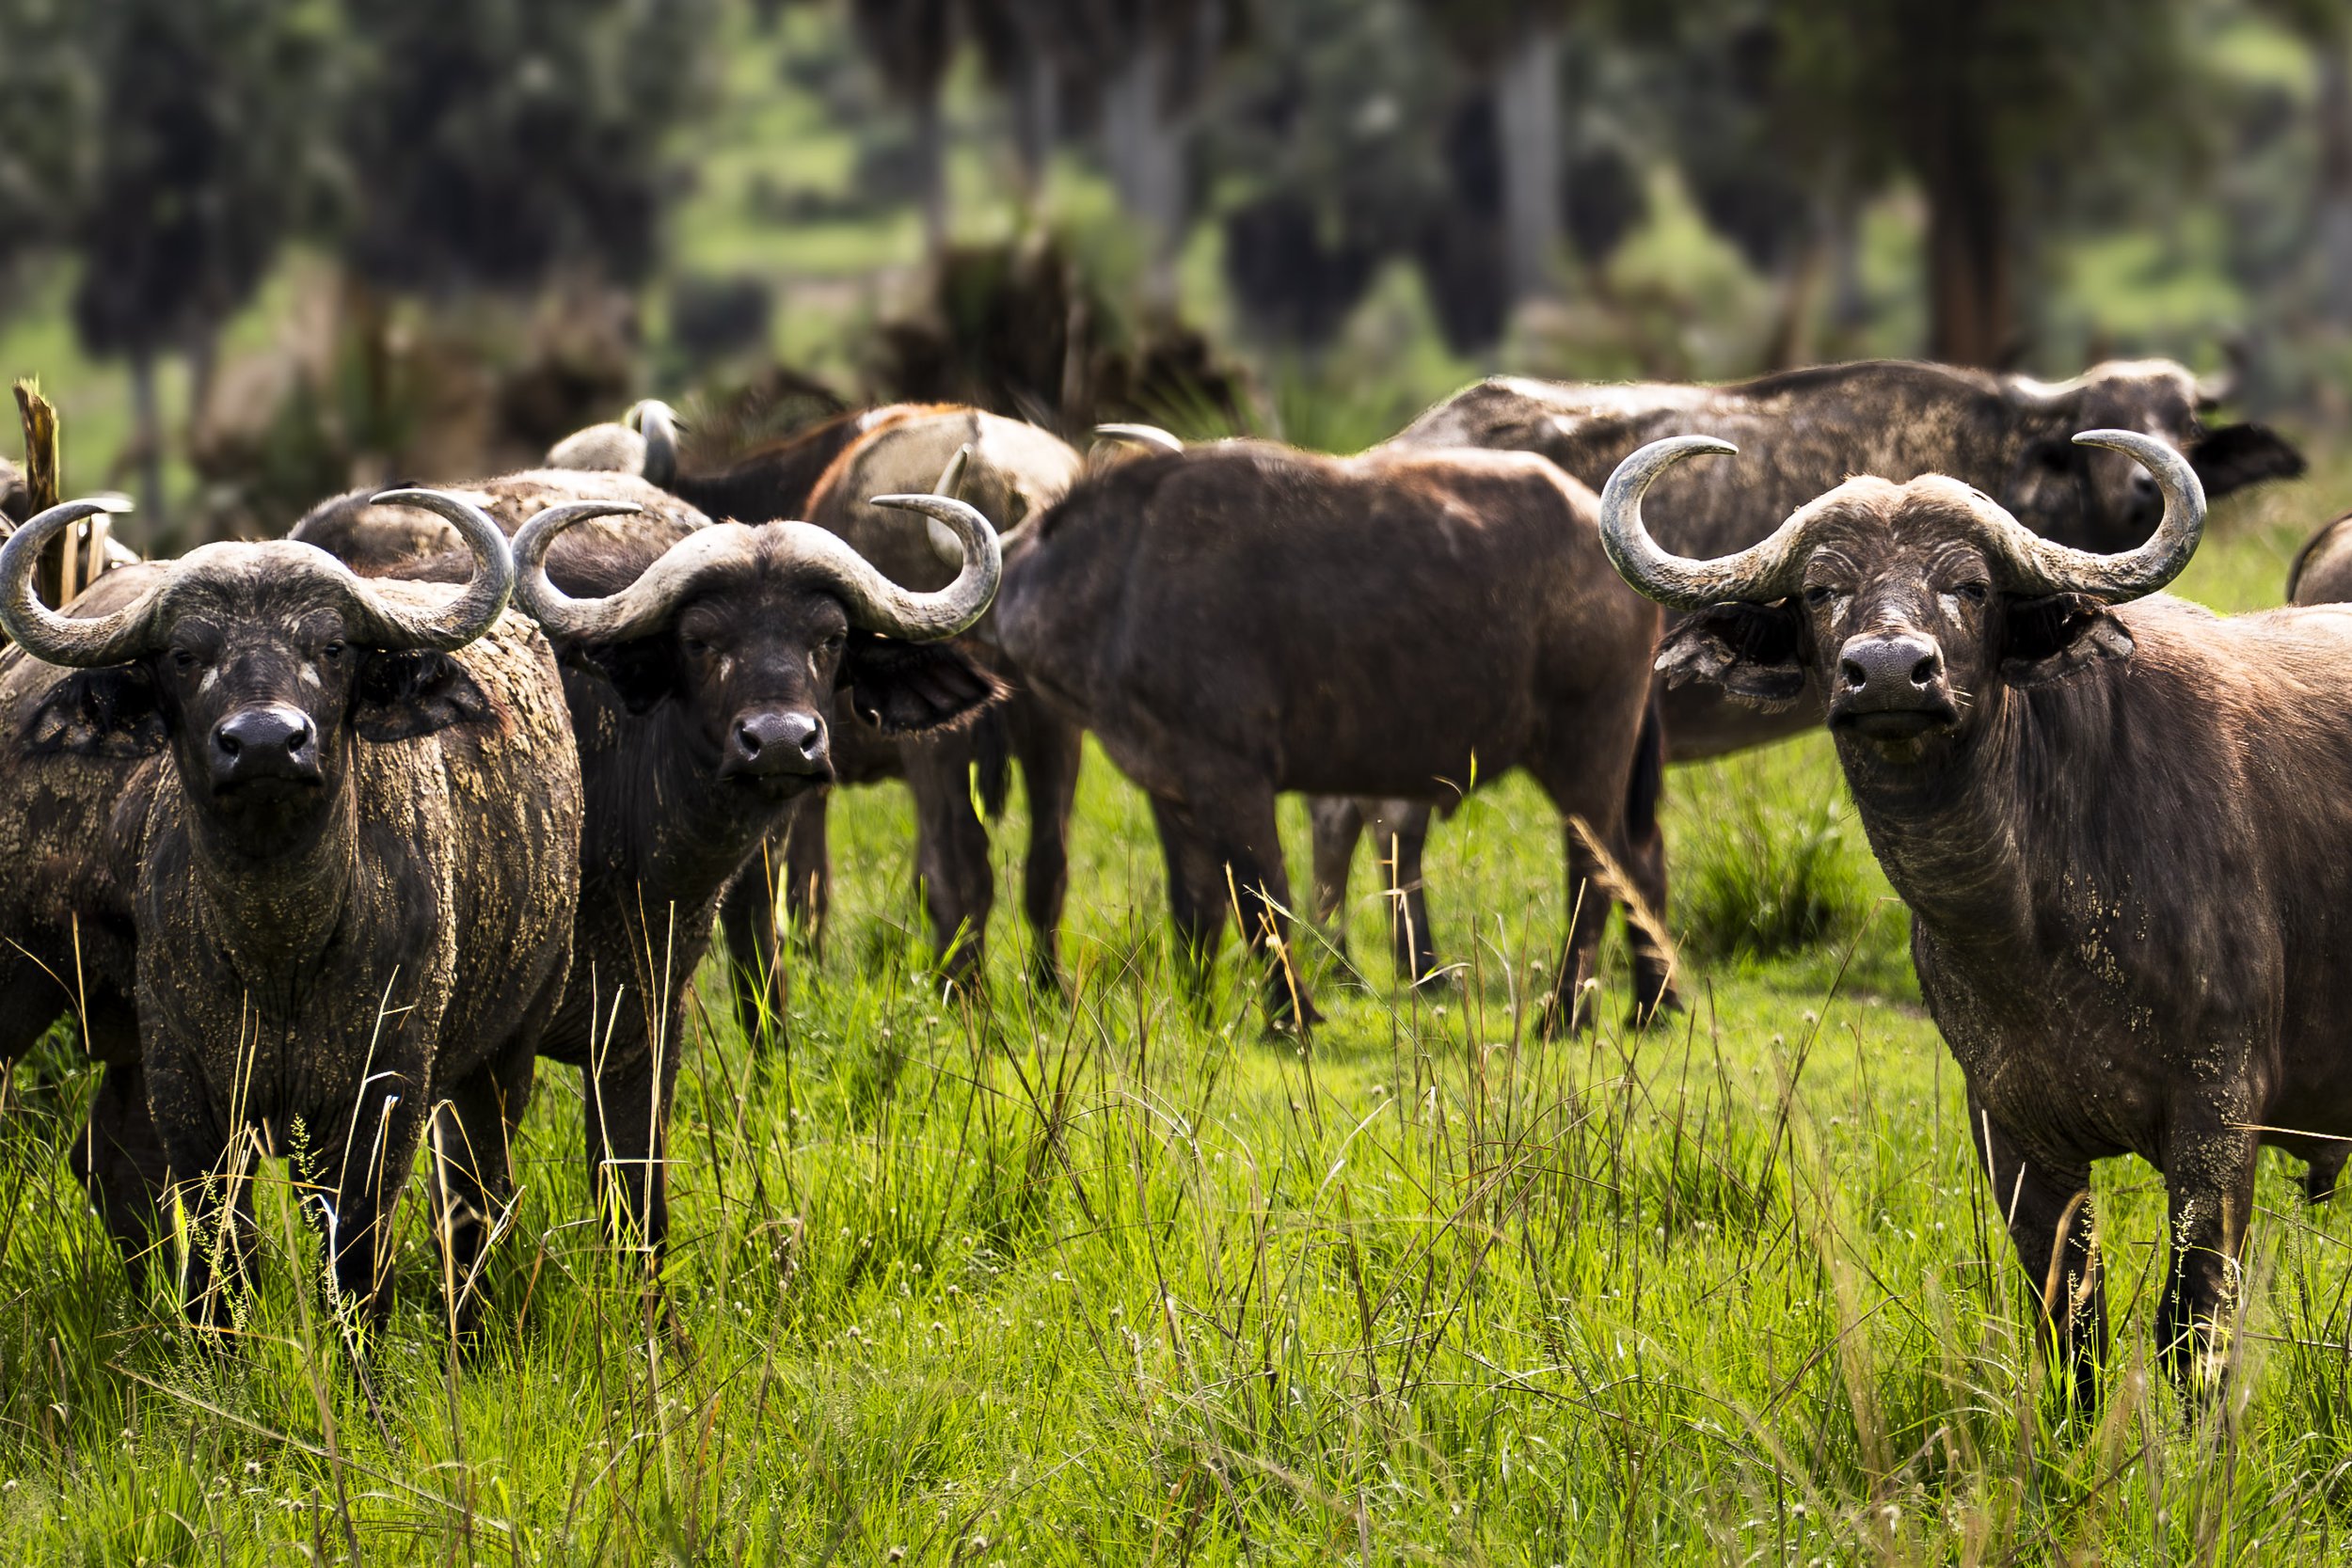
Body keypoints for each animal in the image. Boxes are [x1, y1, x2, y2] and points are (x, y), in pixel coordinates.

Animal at [0, 491, 581, 1339]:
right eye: (184, 653)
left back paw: (467, 1326)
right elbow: (221, 1242)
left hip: (513, 1042)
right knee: (118, 1163)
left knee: (479, 1193)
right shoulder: (190, 1083)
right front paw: (212, 1342)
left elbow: (358, 1252)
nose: (267, 742)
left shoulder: (387, 1088)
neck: (280, 944)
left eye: (332, 646)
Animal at [996, 439, 1670, 1032]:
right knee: (1639, 860)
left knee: (1594, 872)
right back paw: (1649, 1008)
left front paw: (1291, 1018)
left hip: (1587, 742)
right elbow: (1195, 910)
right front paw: (1199, 1018)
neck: (1118, 579)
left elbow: (1261, 899)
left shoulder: (1231, 776)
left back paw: (1562, 1017)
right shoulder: (1170, 789)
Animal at [1310, 357, 2308, 982]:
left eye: (2183, 422)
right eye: (2090, 434)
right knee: (1372, 817)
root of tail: (1394, 451)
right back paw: (1395, 968)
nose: (2144, 489)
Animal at [1597, 427, 2349, 1401]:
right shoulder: (2010, 1132)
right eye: (1820, 589)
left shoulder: (2219, 1125)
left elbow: (2190, 1331)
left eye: (1972, 585)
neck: (2033, 925)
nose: (1889, 671)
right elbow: (2070, 1321)